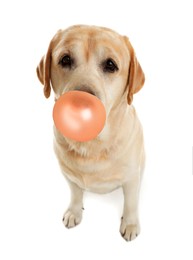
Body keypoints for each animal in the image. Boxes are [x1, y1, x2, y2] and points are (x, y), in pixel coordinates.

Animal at [36, 24, 145, 242]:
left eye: (110, 65)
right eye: (65, 59)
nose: (80, 103)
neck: (92, 145)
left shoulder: (131, 178)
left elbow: (130, 203)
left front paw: (129, 224)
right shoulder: (69, 175)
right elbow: (76, 194)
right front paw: (74, 212)